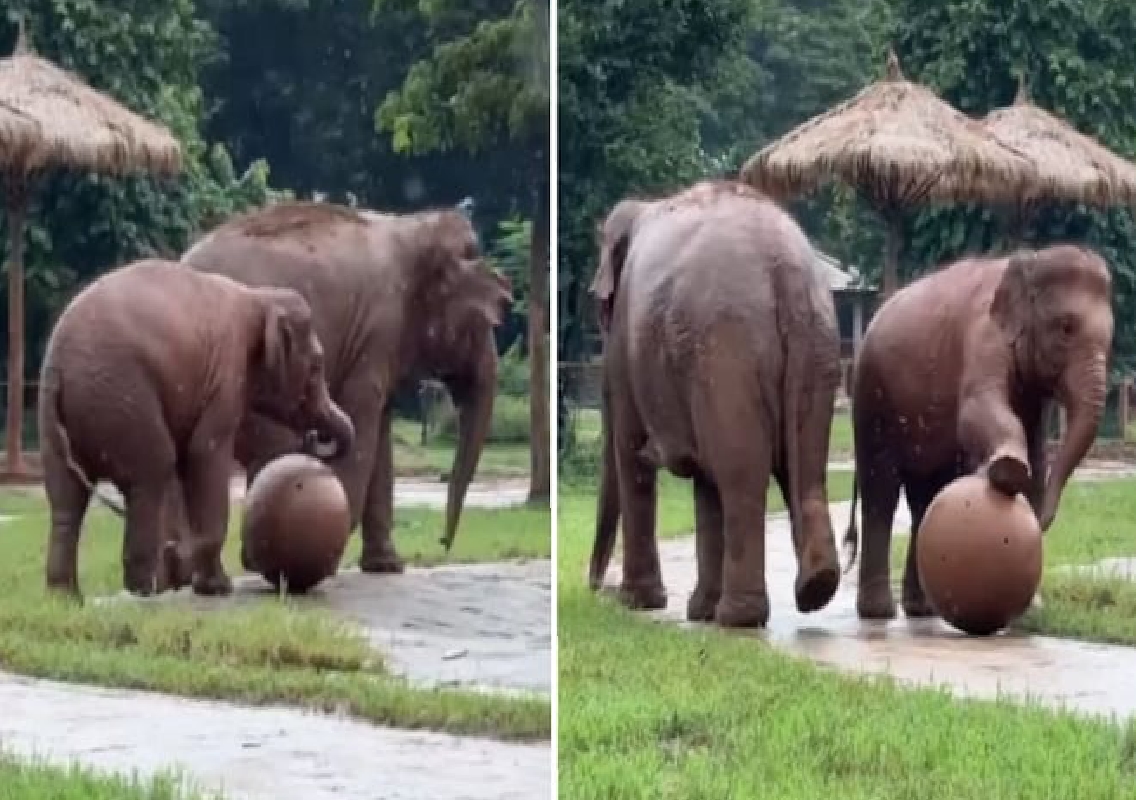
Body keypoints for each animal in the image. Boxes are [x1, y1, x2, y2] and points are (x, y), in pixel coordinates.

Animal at [39, 258, 356, 599]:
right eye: (316, 367)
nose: (312, 437)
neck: (259, 297)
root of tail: (59, 364)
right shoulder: (226, 373)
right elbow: (204, 453)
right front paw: (213, 585)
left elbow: (189, 463)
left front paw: (203, 581)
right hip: (123, 398)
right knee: (151, 471)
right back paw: (148, 588)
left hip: (60, 418)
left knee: (66, 498)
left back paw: (66, 599)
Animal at [180, 201, 512, 571]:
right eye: (486, 322)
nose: (442, 543)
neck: (415, 229)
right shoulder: (378, 331)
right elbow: (363, 421)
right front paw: (334, 549)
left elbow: (381, 437)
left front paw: (386, 565)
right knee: (276, 449)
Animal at [587, 180, 844, 628]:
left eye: (602, 308)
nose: (593, 587)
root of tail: (785, 268)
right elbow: (704, 485)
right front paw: (696, 611)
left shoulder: (625, 347)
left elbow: (631, 453)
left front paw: (638, 602)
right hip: (817, 344)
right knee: (804, 468)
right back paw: (813, 588)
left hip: (725, 351)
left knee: (740, 474)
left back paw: (737, 617)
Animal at [843, 244, 1113, 621]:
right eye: (1066, 327)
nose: (1042, 520)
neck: (1030, 261)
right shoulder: (984, 333)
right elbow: (976, 410)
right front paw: (1008, 469)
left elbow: (1036, 445)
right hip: (873, 393)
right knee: (880, 487)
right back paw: (879, 613)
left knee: (926, 495)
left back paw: (921, 610)